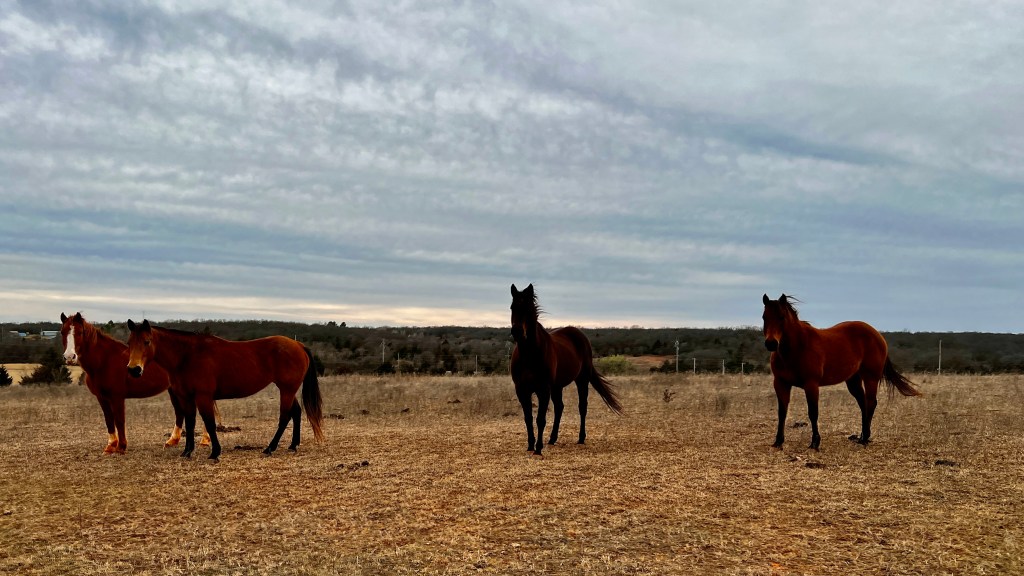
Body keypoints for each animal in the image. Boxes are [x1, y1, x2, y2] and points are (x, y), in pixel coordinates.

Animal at [59, 312, 214, 454]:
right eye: (62, 332)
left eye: (79, 332)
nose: (69, 357)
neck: (104, 361)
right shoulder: (102, 398)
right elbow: (109, 420)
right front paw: (110, 446)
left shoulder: (117, 397)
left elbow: (119, 420)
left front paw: (121, 447)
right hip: (174, 390)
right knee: (179, 412)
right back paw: (172, 441)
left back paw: (205, 440)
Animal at [125, 319, 324, 460]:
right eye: (129, 342)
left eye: (146, 341)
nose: (134, 369)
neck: (187, 356)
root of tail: (298, 345)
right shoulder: (186, 398)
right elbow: (190, 423)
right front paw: (187, 451)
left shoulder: (203, 397)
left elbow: (209, 423)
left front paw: (215, 452)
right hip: (288, 390)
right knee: (296, 412)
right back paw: (293, 445)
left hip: (287, 390)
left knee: (284, 417)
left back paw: (270, 448)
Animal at [509, 284, 622, 456]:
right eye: (512, 307)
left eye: (528, 308)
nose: (517, 332)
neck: (529, 355)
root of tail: (579, 334)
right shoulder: (522, 390)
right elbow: (528, 418)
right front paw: (530, 445)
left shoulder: (543, 389)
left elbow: (540, 419)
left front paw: (538, 448)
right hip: (557, 386)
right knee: (559, 407)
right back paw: (552, 438)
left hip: (581, 380)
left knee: (582, 406)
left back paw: (581, 438)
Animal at [761, 294, 921, 450]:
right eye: (764, 317)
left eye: (781, 317)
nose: (771, 344)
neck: (797, 348)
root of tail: (877, 335)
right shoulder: (781, 384)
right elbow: (782, 413)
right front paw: (778, 441)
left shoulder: (811, 385)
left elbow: (813, 413)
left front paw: (815, 443)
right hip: (853, 380)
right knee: (863, 403)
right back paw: (862, 437)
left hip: (871, 378)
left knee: (871, 402)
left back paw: (865, 439)